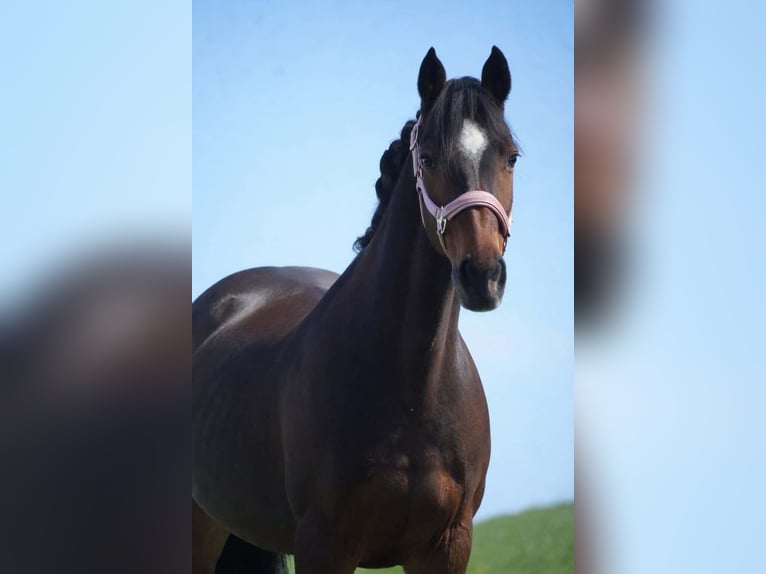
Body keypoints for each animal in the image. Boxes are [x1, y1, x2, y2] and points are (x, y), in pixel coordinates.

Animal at [193, 46, 519, 574]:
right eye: (428, 158)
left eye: (510, 157)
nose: (482, 275)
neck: (412, 392)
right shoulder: (323, 545)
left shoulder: (447, 546)